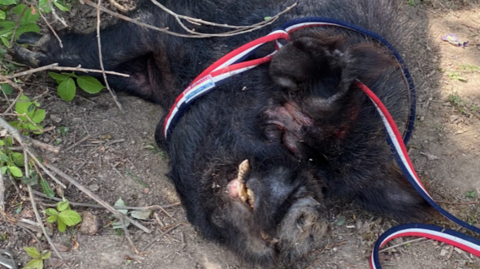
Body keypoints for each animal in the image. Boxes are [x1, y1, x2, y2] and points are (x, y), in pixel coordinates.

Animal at [14, 0, 428, 264]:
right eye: (283, 133)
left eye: (326, 185)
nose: (310, 215)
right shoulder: (171, 23)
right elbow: (104, 52)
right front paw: (25, 47)